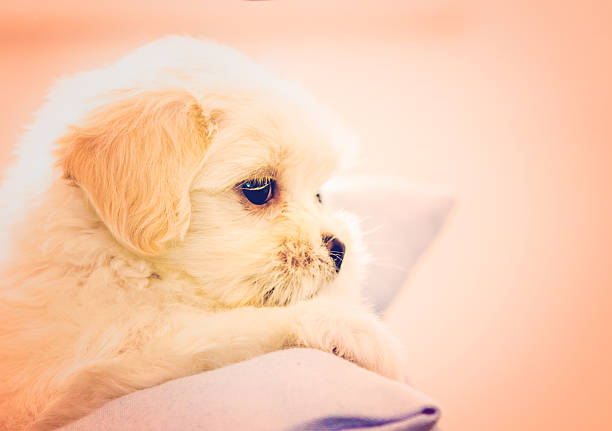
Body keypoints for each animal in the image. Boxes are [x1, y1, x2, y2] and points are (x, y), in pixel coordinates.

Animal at [0, 37, 404, 431]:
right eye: (258, 188)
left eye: (319, 194)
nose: (340, 250)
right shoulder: (88, 369)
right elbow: (225, 329)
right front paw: (354, 329)